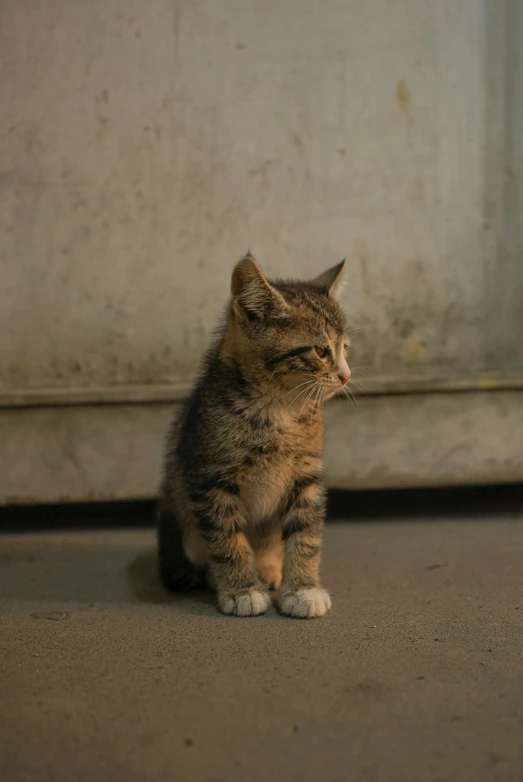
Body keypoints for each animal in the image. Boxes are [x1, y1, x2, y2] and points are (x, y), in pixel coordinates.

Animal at [157, 254, 352, 620]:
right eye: (321, 351)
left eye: (345, 349)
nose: (347, 376)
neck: (277, 411)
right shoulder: (211, 479)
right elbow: (227, 538)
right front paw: (241, 589)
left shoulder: (306, 477)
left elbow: (305, 535)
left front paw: (302, 589)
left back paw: (269, 570)